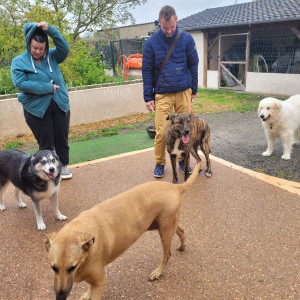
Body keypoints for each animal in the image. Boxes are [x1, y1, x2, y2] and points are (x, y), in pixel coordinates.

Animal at [45, 163, 202, 298]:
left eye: (72, 267)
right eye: (53, 268)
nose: (60, 297)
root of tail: (175, 187)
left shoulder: (99, 282)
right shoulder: (92, 279)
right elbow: (89, 286)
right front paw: (86, 293)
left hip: (165, 231)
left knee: (167, 253)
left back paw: (158, 272)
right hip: (162, 225)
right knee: (181, 231)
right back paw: (182, 246)